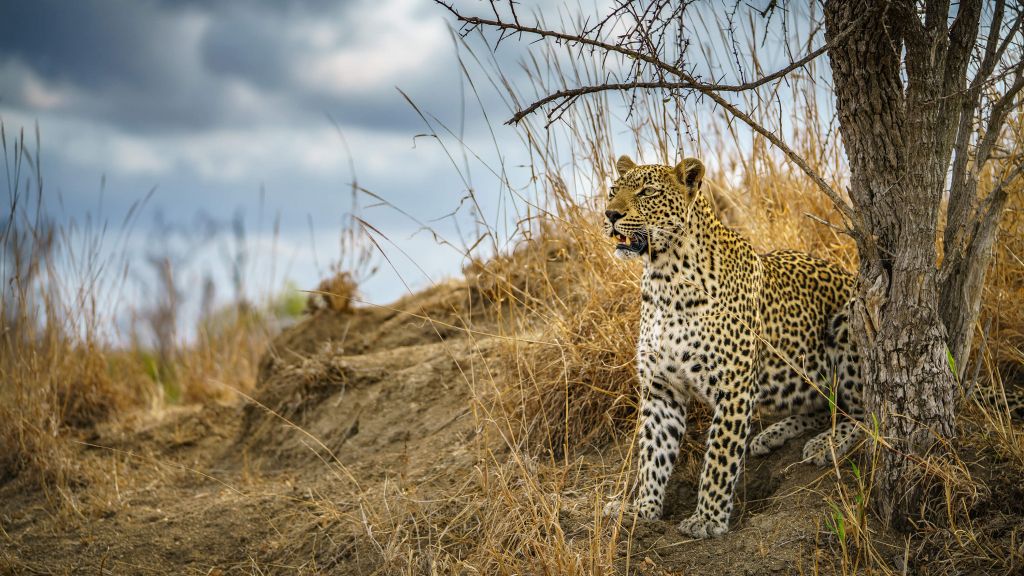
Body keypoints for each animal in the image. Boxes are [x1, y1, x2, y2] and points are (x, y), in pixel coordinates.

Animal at [598, 153, 864, 537]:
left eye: (647, 192)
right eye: (612, 191)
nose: (610, 215)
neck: (663, 278)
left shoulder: (734, 386)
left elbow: (720, 457)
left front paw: (708, 519)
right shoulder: (661, 388)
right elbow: (652, 453)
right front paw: (641, 508)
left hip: (848, 323)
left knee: (867, 413)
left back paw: (826, 443)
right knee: (820, 406)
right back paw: (773, 434)